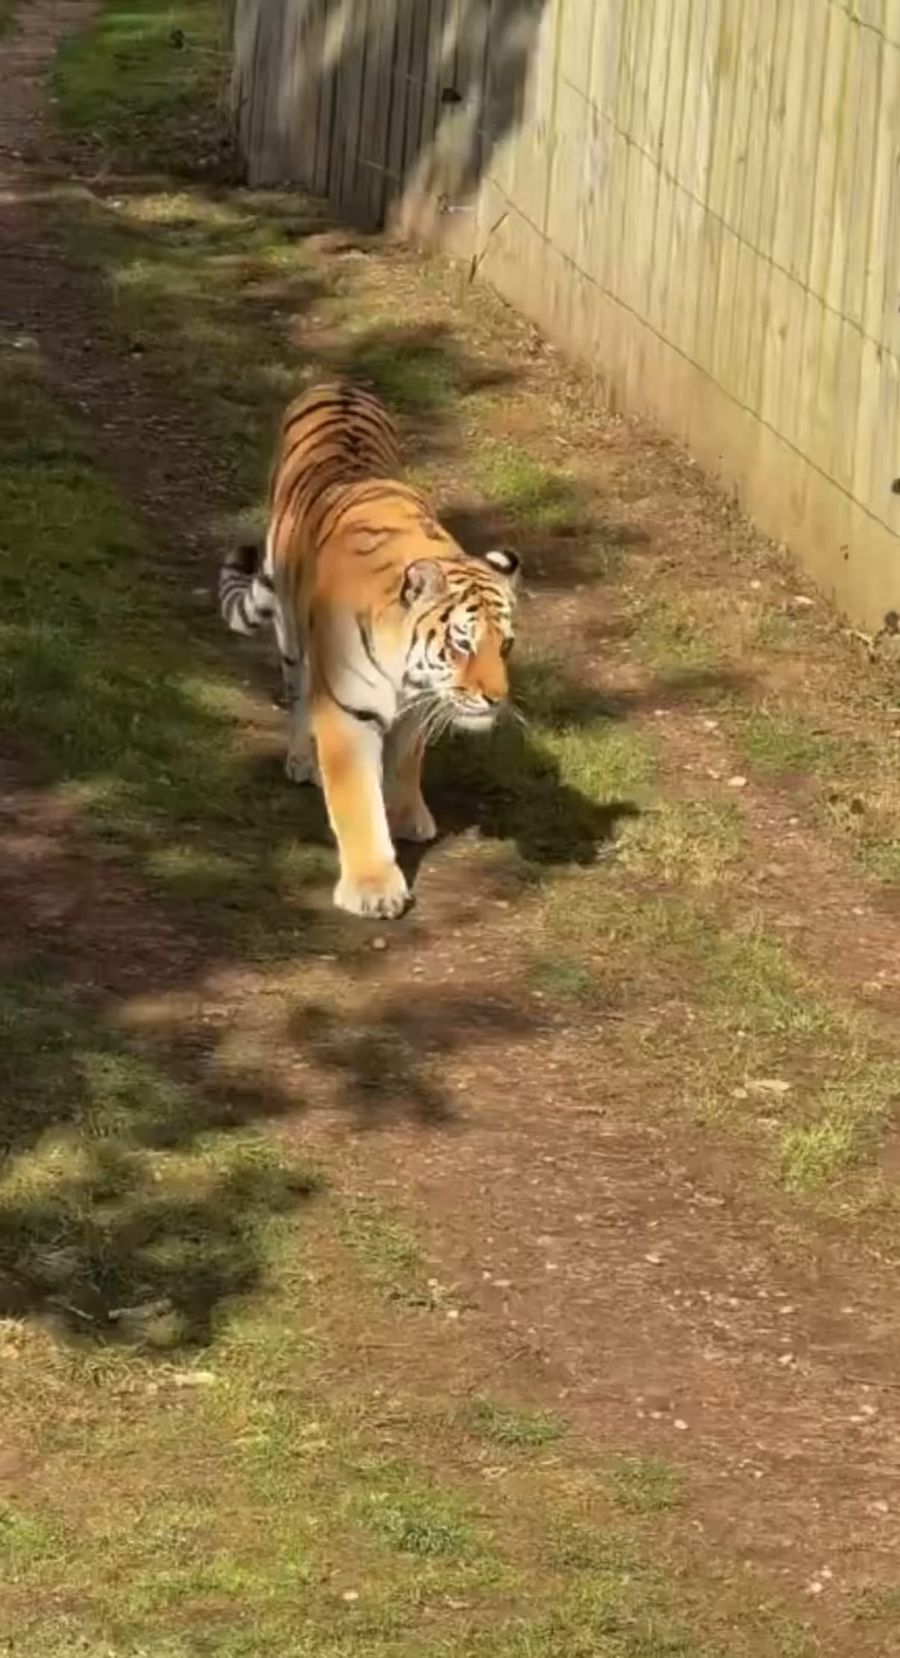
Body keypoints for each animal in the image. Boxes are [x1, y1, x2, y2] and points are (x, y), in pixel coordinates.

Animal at [218, 381, 520, 919]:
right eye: (462, 643)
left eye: (503, 643)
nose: (496, 699)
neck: (408, 672)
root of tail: (335, 383)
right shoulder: (347, 714)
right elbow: (356, 801)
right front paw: (374, 889)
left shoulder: (418, 707)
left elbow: (405, 762)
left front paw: (408, 815)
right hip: (291, 634)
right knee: (297, 694)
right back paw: (301, 761)